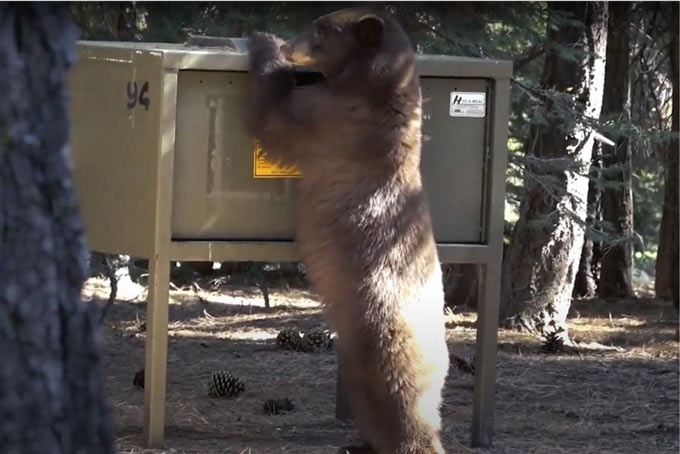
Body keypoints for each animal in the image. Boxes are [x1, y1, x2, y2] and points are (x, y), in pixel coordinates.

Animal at [247, 7, 450, 454]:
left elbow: (278, 120)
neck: (375, 87)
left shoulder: (335, 120)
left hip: (381, 331)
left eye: (321, 27)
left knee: (397, 397)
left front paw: (265, 43)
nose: (292, 43)